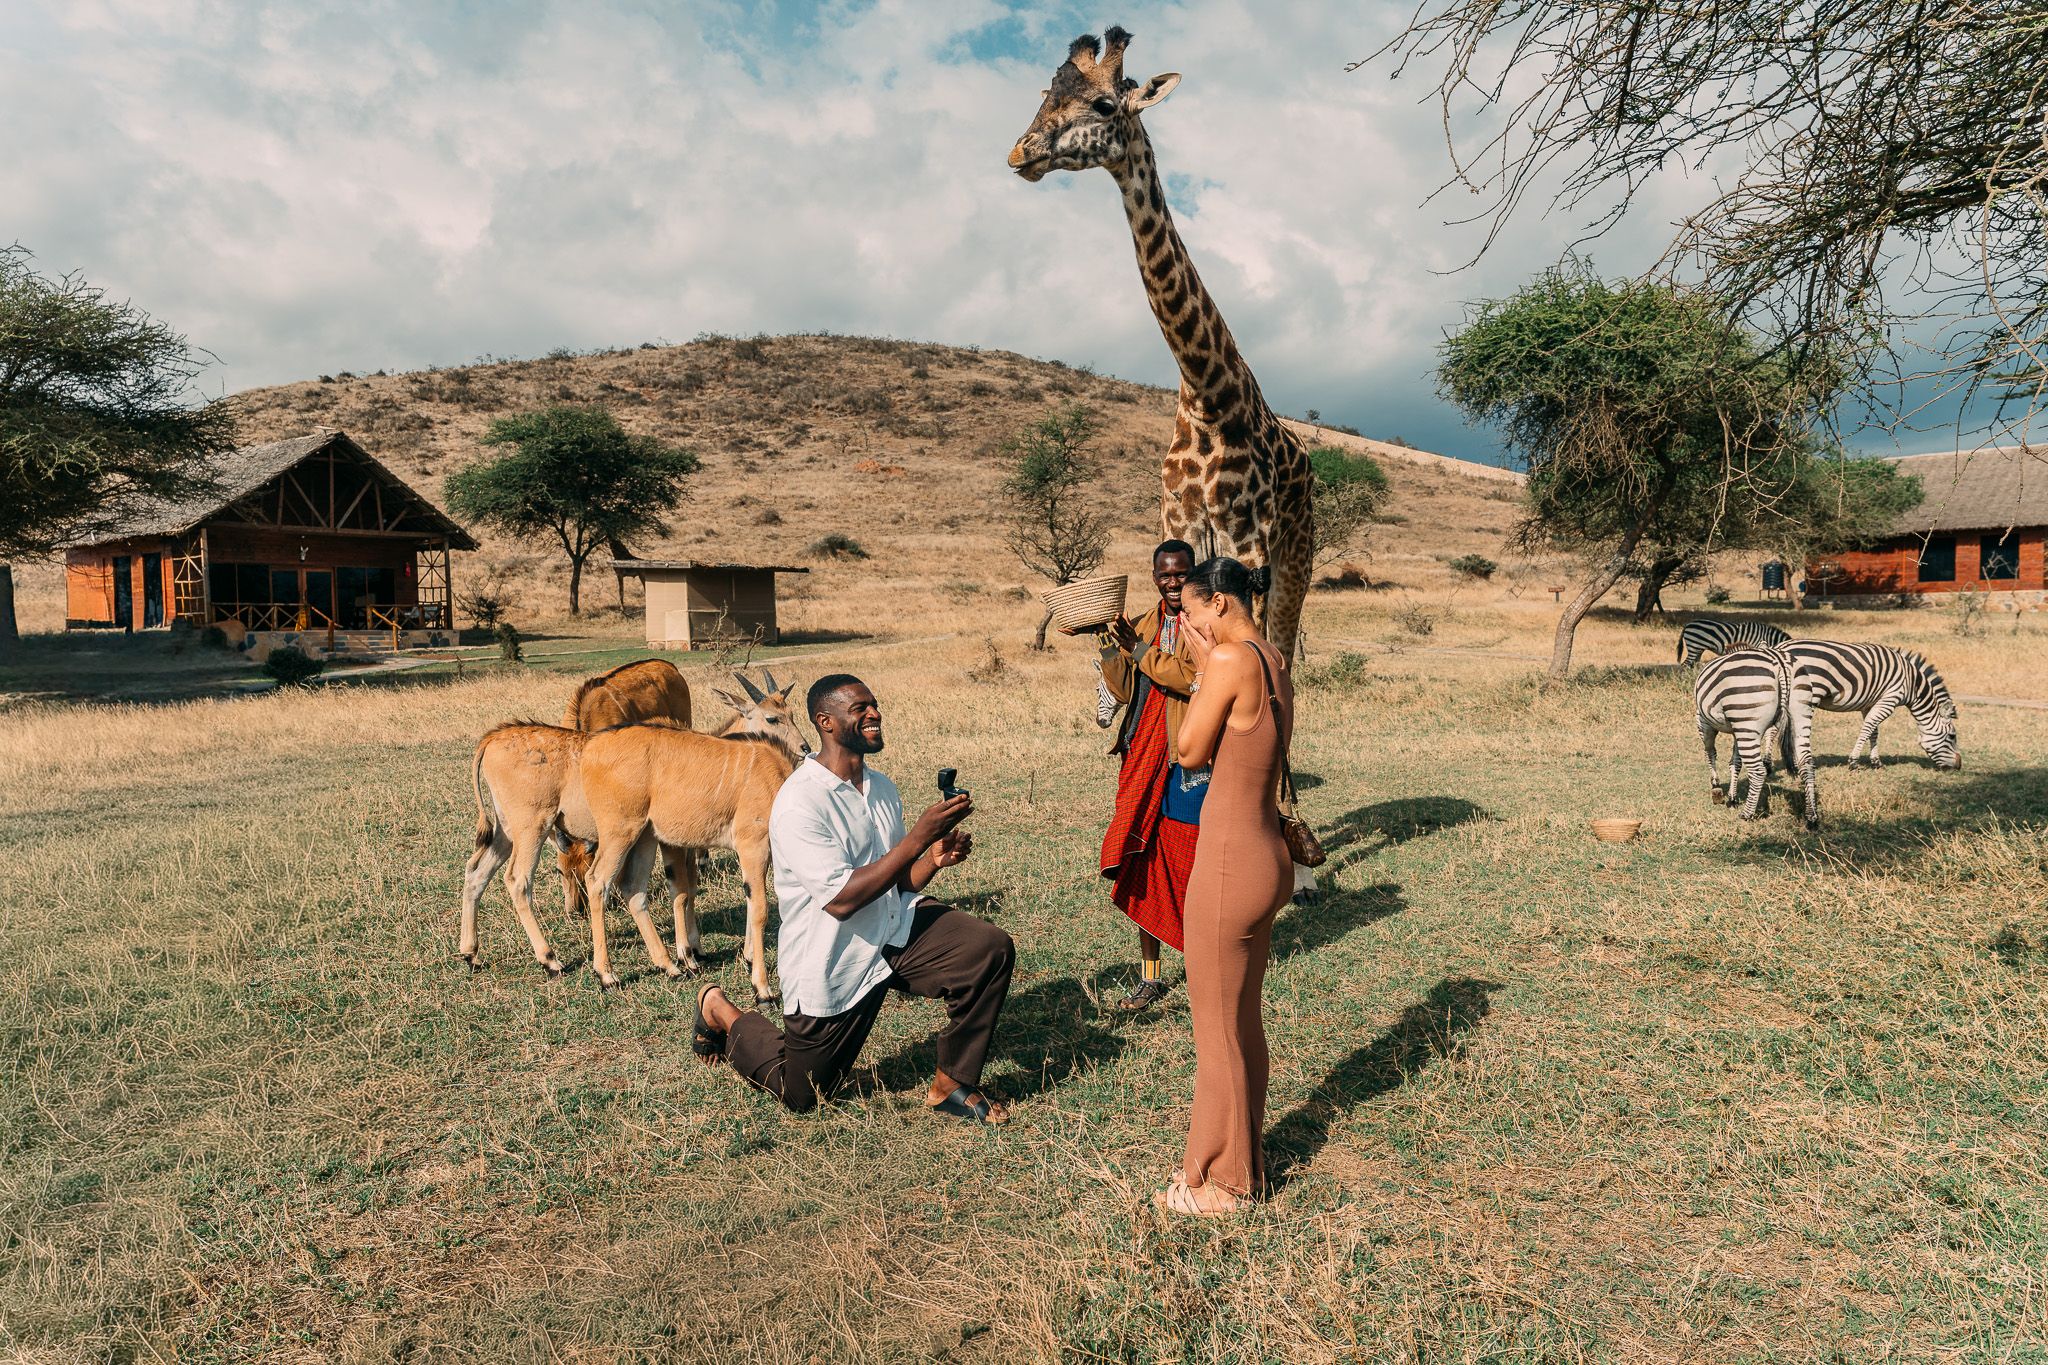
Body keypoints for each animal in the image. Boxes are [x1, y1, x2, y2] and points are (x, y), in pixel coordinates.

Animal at [1008, 25, 1315, 662]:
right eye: (1047, 95)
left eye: (1104, 105)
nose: (1019, 153)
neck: (1206, 393)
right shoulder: (1178, 525)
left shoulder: (1248, 540)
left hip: (1297, 551)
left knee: (1283, 643)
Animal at [1695, 645, 1821, 827]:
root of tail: (1780, 663)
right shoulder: (1736, 729)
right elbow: (1735, 762)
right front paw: (1732, 798)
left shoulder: (1703, 721)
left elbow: (1710, 753)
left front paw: (1716, 787)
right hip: (1801, 714)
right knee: (1807, 765)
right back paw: (1811, 817)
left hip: (1747, 723)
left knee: (1758, 771)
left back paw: (1746, 814)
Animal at [1775, 641, 1961, 771]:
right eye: (1952, 736)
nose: (1959, 766)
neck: (1912, 685)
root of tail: (1781, 648)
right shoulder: (1890, 699)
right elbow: (1868, 727)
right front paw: (1853, 762)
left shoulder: (1870, 703)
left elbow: (1874, 731)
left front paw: (1876, 762)